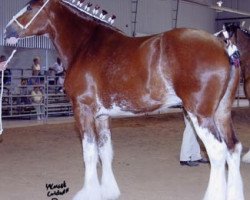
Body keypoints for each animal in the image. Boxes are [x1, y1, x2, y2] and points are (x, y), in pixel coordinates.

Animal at [3, 0, 244, 200]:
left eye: (30, 7)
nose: (7, 30)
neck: (86, 45)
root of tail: (223, 46)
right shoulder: (102, 116)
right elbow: (105, 152)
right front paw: (108, 191)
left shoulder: (83, 110)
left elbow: (89, 153)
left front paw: (89, 193)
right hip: (221, 113)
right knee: (233, 148)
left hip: (200, 114)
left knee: (218, 152)